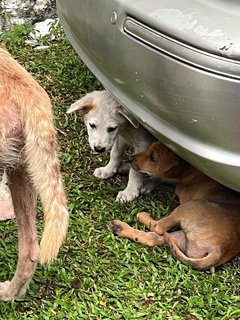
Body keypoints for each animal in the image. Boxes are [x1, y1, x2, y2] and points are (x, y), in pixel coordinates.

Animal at [109, 141, 240, 268]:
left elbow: (162, 176)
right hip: (181, 238)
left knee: (158, 227)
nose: (129, 159)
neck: (190, 170)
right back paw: (119, 227)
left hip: (189, 206)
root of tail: (219, 250)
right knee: (152, 238)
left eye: (153, 158)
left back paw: (141, 216)